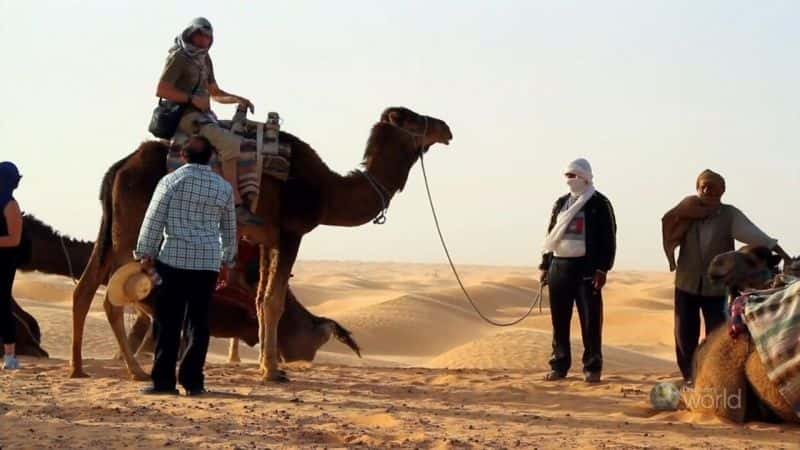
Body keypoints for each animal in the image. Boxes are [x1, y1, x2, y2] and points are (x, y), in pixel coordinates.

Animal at [72, 107, 454, 382]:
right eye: (413, 118)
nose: (446, 127)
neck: (327, 191)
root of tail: (122, 166)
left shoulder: (267, 238)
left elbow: (259, 300)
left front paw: (267, 364)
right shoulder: (291, 233)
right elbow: (273, 302)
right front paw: (271, 371)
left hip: (112, 225)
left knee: (86, 286)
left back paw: (80, 367)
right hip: (135, 225)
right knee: (113, 294)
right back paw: (134, 370)